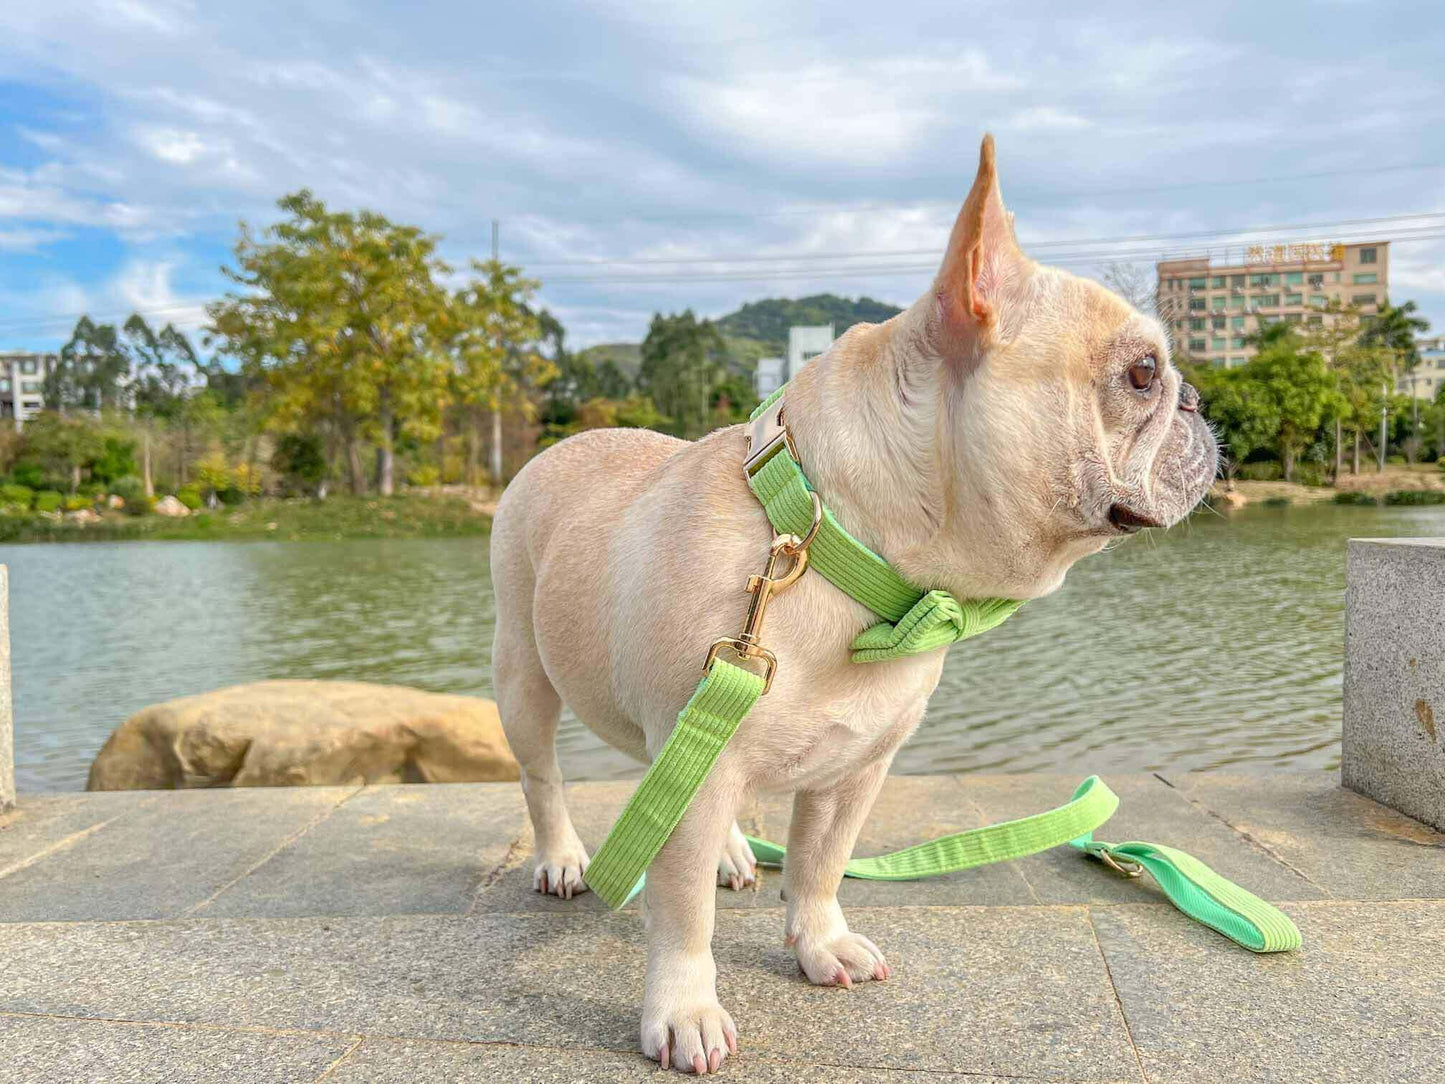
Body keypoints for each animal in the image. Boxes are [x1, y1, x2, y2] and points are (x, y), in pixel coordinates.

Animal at [488, 131, 1219, 1075]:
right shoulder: (705, 771)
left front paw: (818, 943)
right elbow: (681, 909)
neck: (840, 550)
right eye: (1141, 374)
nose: (1199, 401)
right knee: (544, 776)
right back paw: (563, 859)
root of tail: (555, 446)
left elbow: (820, 865)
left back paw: (732, 851)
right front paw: (684, 1010)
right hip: (523, 675)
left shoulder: (854, 769)